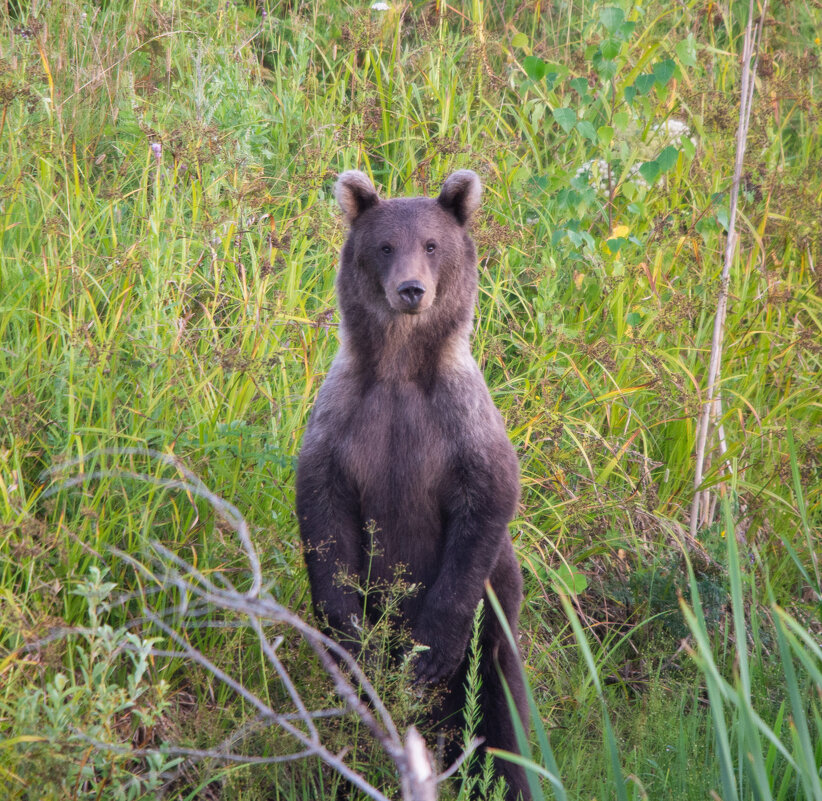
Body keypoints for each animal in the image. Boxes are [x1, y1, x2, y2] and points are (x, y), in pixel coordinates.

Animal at [300, 169, 532, 800]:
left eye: (431, 244)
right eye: (384, 246)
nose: (410, 290)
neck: (400, 369)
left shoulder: (461, 422)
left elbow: (487, 502)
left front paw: (428, 649)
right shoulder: (344, 422)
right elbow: (323, 518)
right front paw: (351, 633)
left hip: (495, 633)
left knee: (502, 722)